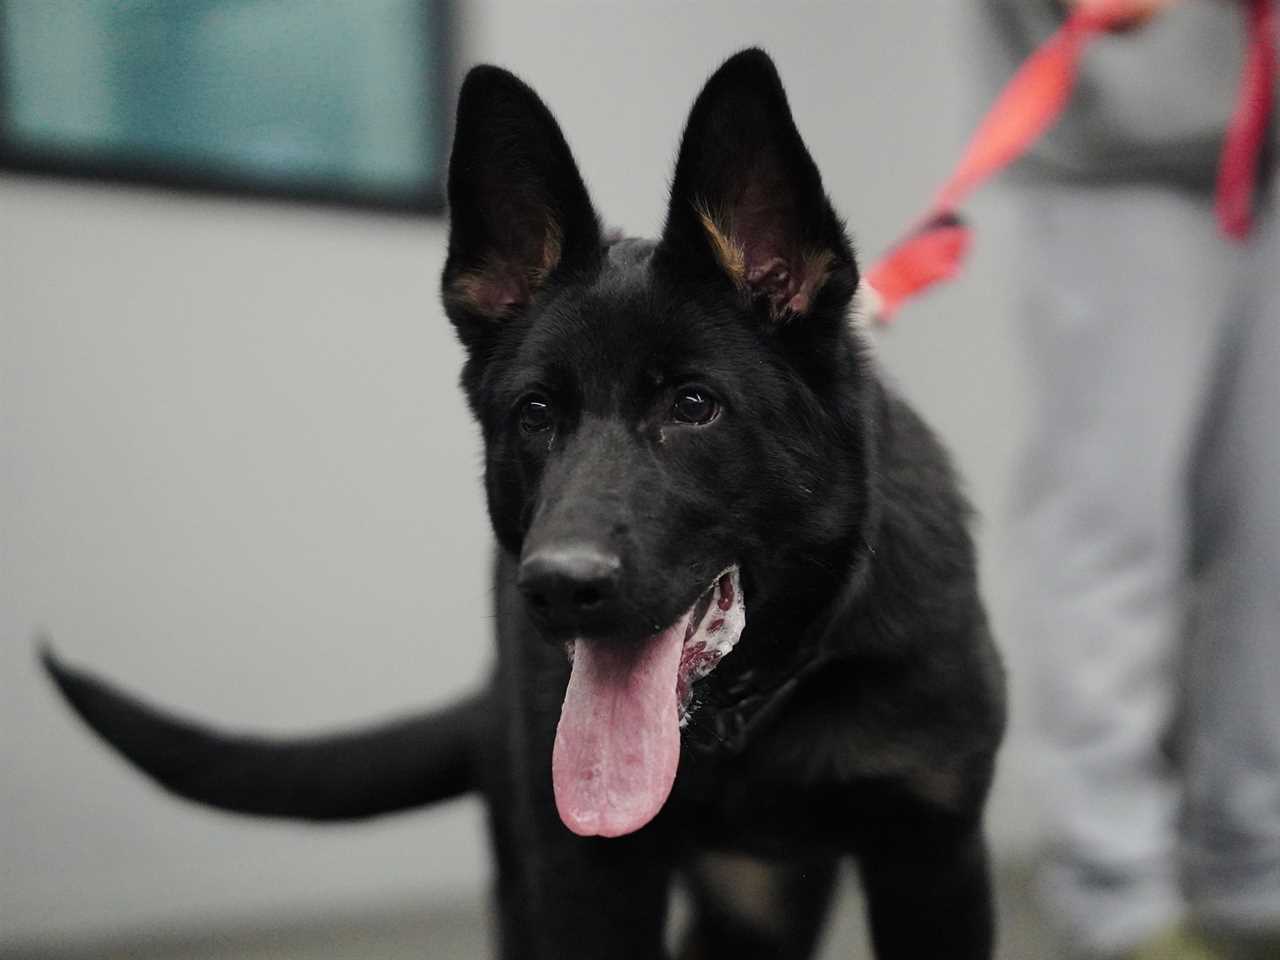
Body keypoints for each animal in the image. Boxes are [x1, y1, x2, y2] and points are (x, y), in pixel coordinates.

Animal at [42, 48, 1008, 957]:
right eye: (536, 414)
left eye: (694, 405)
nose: (557, 587)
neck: (754, 715)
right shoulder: (586, 878)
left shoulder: (936, 860)